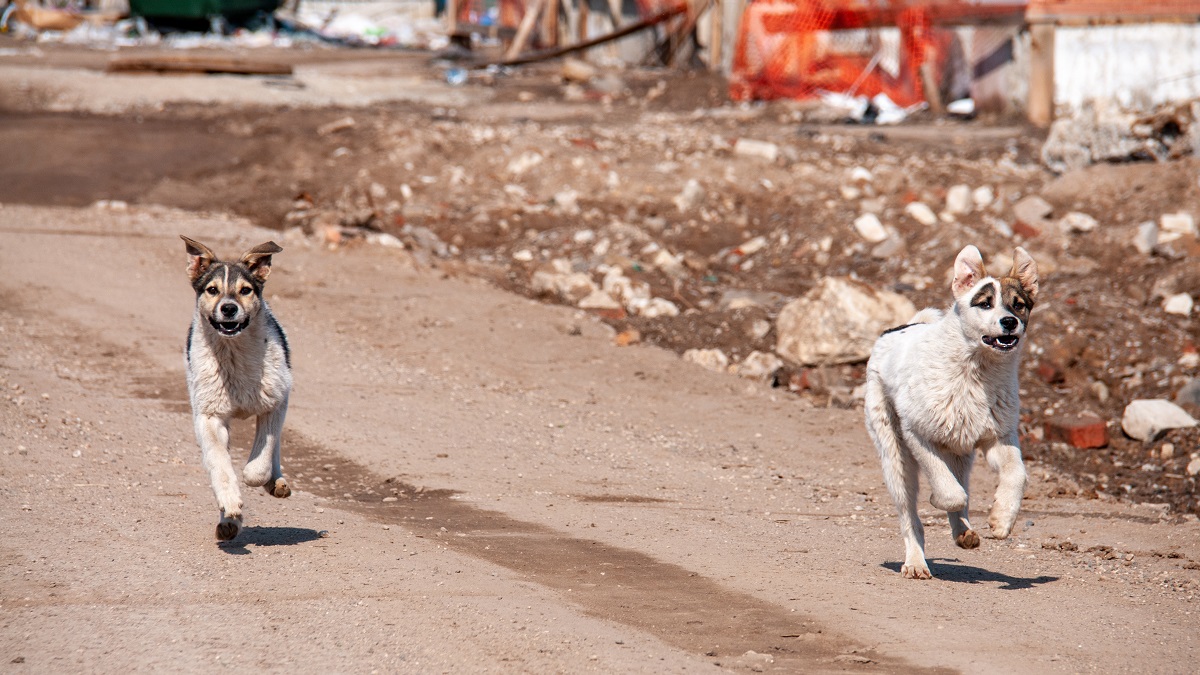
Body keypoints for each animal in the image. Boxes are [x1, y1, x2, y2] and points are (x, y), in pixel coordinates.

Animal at [180, 236, 292, 540]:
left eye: (245, 290)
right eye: (212, 290)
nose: (228, 308)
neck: (233, 354)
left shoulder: (276, 401)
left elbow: (260, 461)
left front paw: (263, 478)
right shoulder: (209, 417)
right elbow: (220, 464)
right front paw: (230, 505)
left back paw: (276, 482)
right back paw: (229, 523)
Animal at [868, 243, 1036, 576]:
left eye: (1018, 305)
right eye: (985, 303)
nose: (1009, 322)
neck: (976, 371)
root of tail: (898, 328)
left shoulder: (999, 438)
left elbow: (1017, 474)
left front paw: (1002, 519)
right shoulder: (916, 434)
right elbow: (950, 491)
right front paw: (939, 499)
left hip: (961, 452)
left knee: (960, 480)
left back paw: (963, 532)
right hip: (895, 456)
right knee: (911, 514)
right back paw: (916, 562)